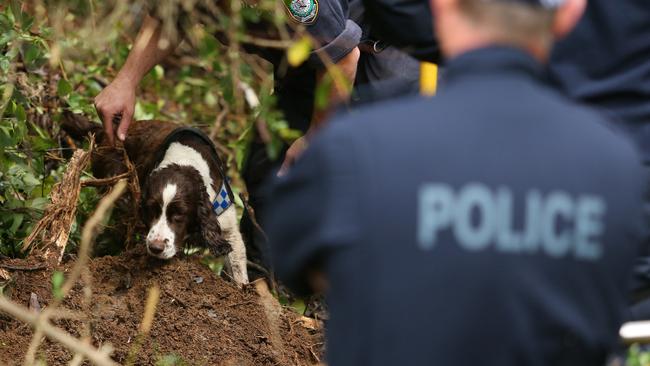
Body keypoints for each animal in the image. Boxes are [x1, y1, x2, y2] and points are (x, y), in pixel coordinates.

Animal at [66, 118, 247, 284]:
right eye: (151, 209)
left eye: (180, 214)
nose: (156, 248)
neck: (184, 160)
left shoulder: (228, 227)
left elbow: (238, 269)